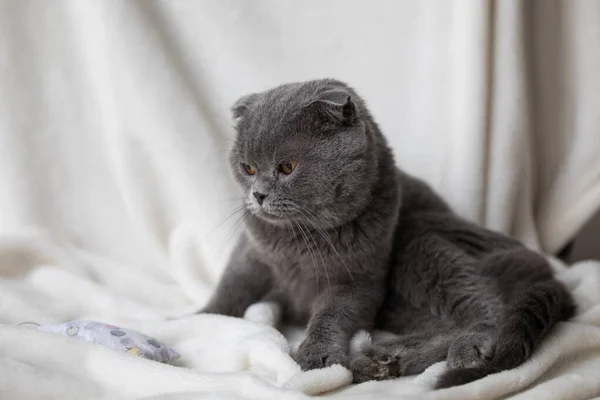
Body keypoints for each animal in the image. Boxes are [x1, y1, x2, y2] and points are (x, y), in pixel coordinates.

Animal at [203, 78, 576, 388]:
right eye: (248, 168)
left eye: (287, 167)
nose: (258, 195)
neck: (298, 240)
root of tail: (548, 273)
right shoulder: (251, 254)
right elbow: (231, 287)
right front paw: (200, 318)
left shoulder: (359, 279)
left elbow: (330, 313)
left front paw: (317, 358)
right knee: (442, 325)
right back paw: (384, 361)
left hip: (419, 242)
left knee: (488, 309)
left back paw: (461, 350)